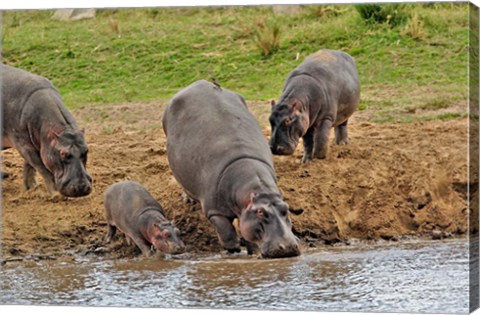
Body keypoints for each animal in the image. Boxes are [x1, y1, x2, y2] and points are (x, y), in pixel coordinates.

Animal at [1, 63, 93, 198]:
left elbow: (29, 166)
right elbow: (41, 167)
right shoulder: (23, 144)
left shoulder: (32, 144)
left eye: (86, 150)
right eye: (63, 153)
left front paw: (31, 188)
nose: (81, 188)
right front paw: (55, 194)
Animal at [163, 79, 302, 260]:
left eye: (286, 209)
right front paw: (233, 250)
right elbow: (227, 232)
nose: (288, 247)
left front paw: (252, 251)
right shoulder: (214, 211)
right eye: (260, 212)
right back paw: (189, 200)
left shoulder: (245, 213)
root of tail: (197, 83)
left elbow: (247, 232)